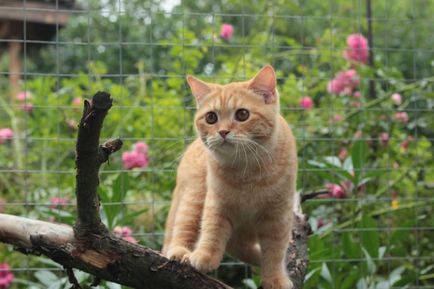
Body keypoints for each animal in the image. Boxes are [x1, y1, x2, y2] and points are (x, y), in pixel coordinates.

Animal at [163, 65, 298, 288]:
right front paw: (205, 255)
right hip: (194, 198)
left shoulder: (277, 215)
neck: (248, 170)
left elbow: (275, 250)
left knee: (239, 245)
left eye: (242, 114)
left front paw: (275, 278)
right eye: (211, 118)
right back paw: (180, 252)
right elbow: (213, 230)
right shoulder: (217, 203)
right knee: (183, 229)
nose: (223, 132)